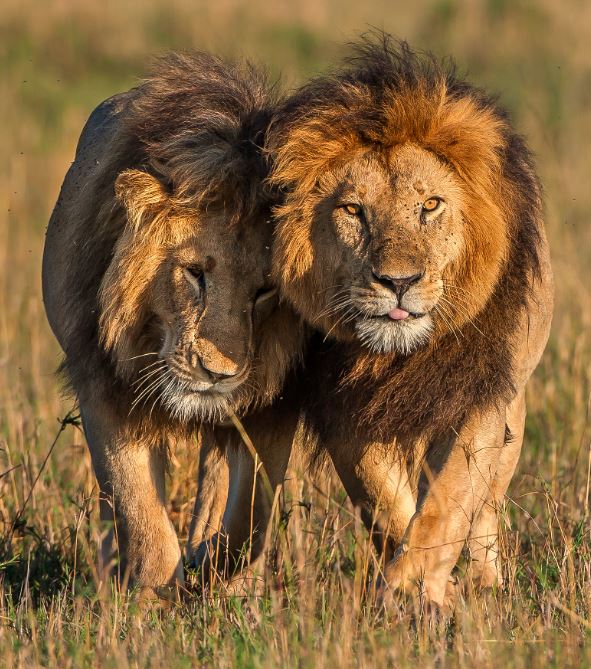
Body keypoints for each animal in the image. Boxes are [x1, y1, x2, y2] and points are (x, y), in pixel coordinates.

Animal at [42, 52, 303, 596]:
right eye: (194, 273)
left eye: (265, 291)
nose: (218, 374)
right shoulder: (101, 385)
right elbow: (138, 511)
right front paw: (150, 600)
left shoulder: (276, 402)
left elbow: (252, 511)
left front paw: (220, 575)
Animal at [200, 38, 553, 606]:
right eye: (353, 211)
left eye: (430, 205)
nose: (398, 281)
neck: (400, 354)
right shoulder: (345, 409)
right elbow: (386, 501)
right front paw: (415, 590)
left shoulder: (479, 395)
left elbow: (450, 499)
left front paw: (420, 589)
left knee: (487, 507)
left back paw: (486, 582)